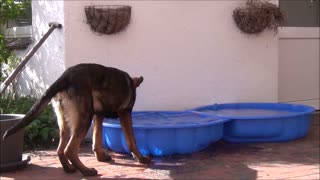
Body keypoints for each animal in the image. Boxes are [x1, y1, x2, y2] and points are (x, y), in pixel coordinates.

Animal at [2, 63, 150, 176]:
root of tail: (64, 77)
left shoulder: (98, 115)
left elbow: (97, 140)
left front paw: (101, 157)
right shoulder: (125, 113)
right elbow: (131, 140)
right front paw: (140, 158)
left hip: (66, 123)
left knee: (60, 149)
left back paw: (68, 168)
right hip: (84, 118)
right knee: (70, 149)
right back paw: (86, 171)